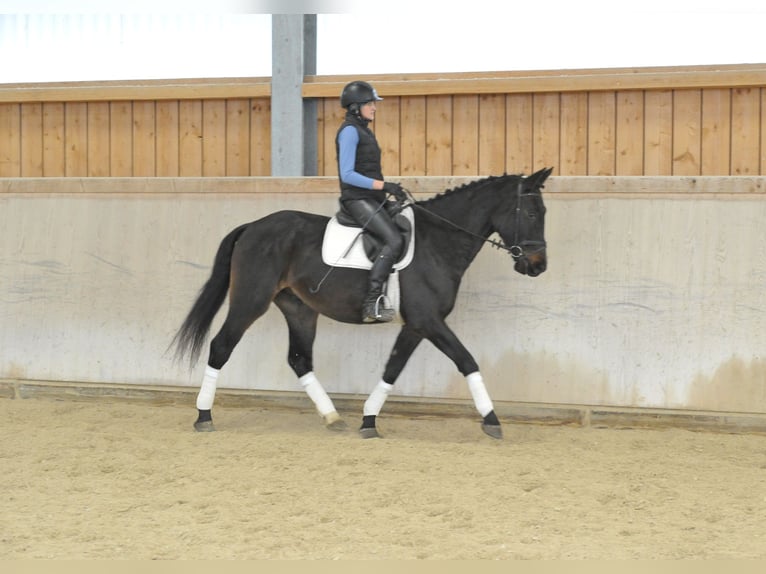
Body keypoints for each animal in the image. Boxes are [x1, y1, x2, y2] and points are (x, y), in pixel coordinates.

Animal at [171, 167, 551, 439]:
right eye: (532, 214)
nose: (538, 266)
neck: (438, 242)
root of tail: (252, 227)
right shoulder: (428, 320)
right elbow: (467, 361)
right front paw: (492, 419)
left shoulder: (416, 325)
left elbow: (393, 368)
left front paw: (368, 420)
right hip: (251, 300)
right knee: (221, 346)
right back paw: (204, 416)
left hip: (299, 308)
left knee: (299, 359)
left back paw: (332, 417)